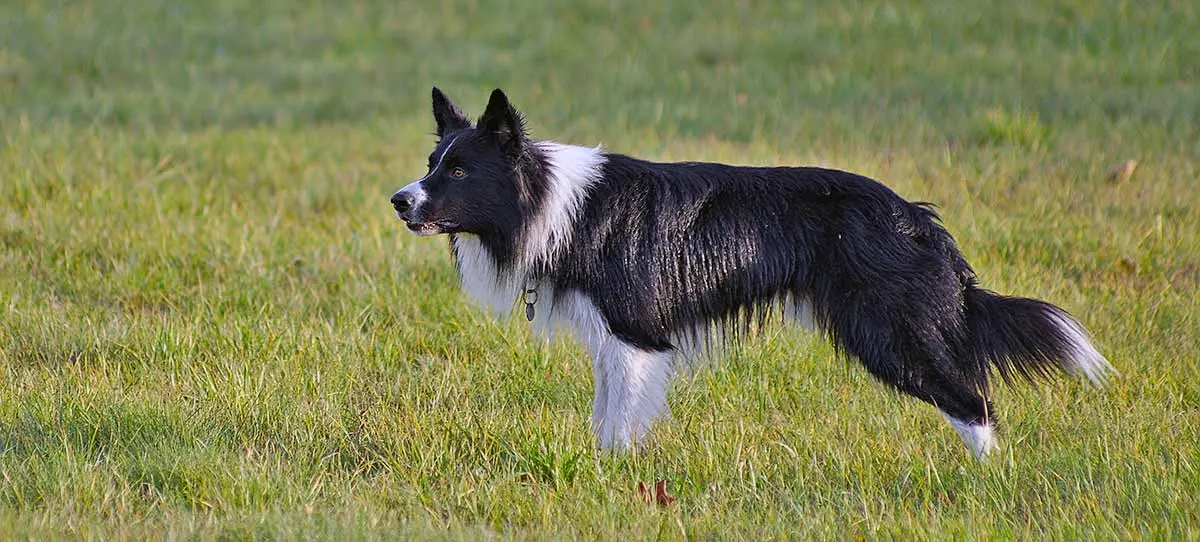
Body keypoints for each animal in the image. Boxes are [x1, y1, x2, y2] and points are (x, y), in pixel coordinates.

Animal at [388, 88, 1108, 458]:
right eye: (431, 163)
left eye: (459, 171)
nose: (399, 200)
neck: (549, 200)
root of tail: (919, 220)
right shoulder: (616, 341)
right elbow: (605, 415)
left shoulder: (636, 336)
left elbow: (620, 423)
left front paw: (615, 481)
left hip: (889, 332)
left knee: (974, 403)